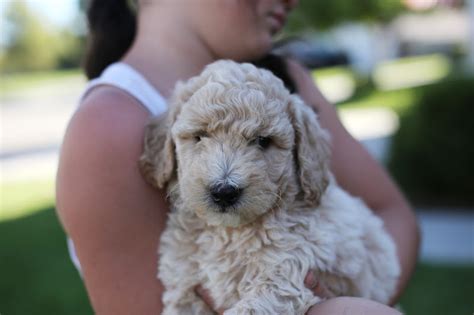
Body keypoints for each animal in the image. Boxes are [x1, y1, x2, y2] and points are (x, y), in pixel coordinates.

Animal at [139, 60, 398, 314]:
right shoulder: (184, 285)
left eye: (263, 141)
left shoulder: (286, 275)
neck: (228, 232)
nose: (224, 192)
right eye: (200, 136)